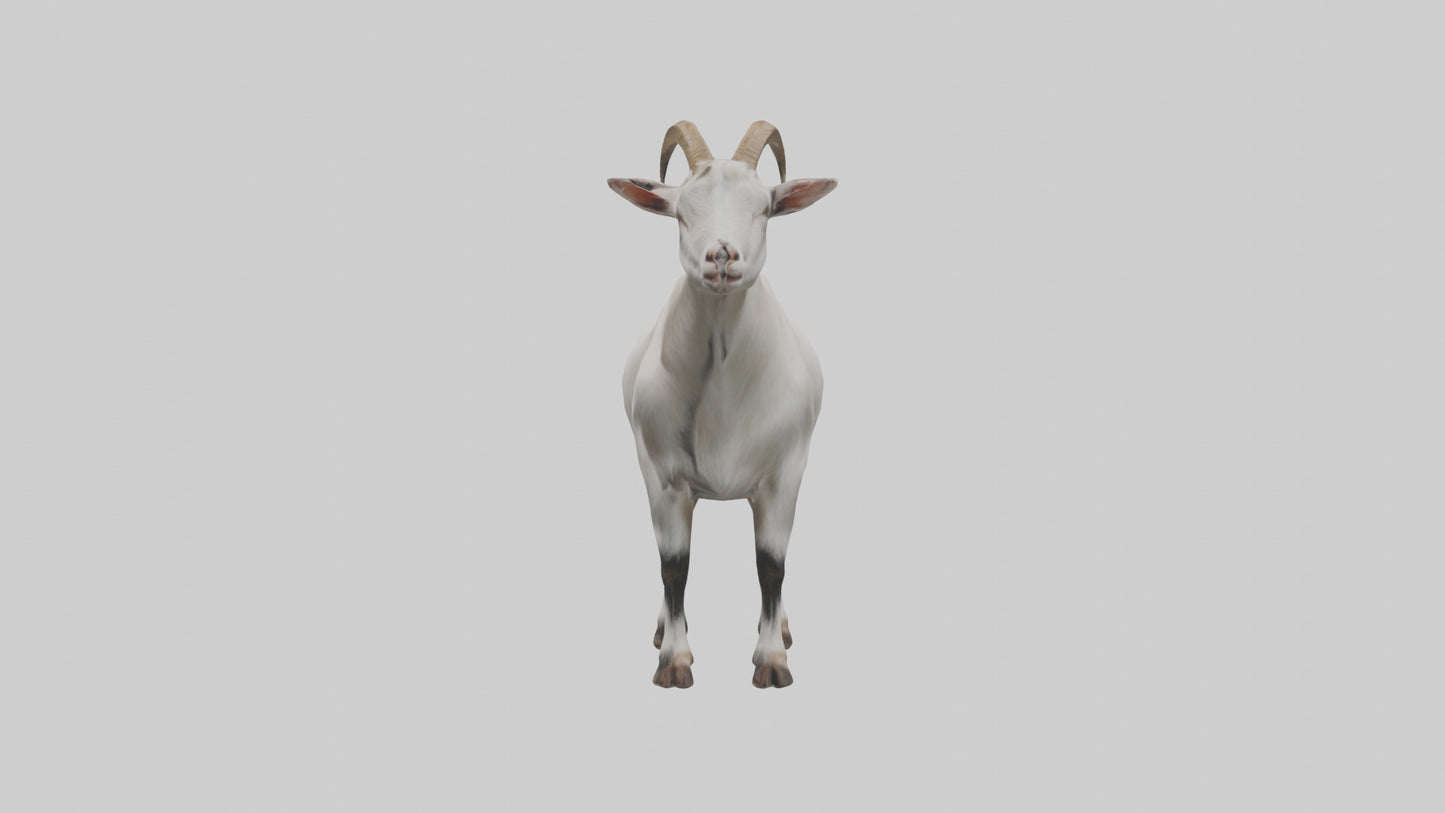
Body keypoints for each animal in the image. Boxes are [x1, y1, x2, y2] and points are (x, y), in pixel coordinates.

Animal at [608, 121, 836, 688]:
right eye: (681, 210)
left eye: (764, 208)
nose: (722, 256)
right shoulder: (663, 475)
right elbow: (674, 566)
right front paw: (674, 660)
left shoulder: (784, 474)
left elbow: (771, 565)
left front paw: (772, 660)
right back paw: (662, 630)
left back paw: (783, 629)